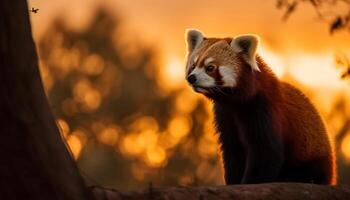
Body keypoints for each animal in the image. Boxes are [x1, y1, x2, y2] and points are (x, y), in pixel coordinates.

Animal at [186, 28, 336, 184]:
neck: (235, 104)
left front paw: (250, 182)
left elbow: (266, 153)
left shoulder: (265, 110)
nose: (192, 78)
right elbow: (233, 152)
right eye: (193, 65)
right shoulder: (225, 115)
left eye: (210, 68)